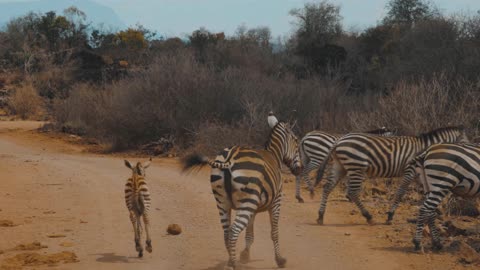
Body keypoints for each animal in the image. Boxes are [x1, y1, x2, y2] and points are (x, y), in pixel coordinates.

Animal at [181, 113, 300, 270]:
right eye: (297, 142)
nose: (299, 170)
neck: (274, 156)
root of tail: (229, 158)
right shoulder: (276, 201)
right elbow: (274, 232)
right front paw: (280, 260)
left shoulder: (253, 208)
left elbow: (249, 233)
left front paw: (245, 255)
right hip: (246, 203)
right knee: (233, 231)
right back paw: (233, 264)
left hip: (224, 202)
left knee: (227, 232)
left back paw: (230, 260)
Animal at [314, 126, 466, 226]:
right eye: (466, 143)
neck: (423, 149)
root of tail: (339, 141)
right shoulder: (410, 170)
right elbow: (400, 193)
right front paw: (390, 216)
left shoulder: (420, 175)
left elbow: (427, 193)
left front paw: (436, 212)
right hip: (356, 167)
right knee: (353, 192)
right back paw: (368, 217)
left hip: (340, 166)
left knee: (327, 187)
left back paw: (321, 216)